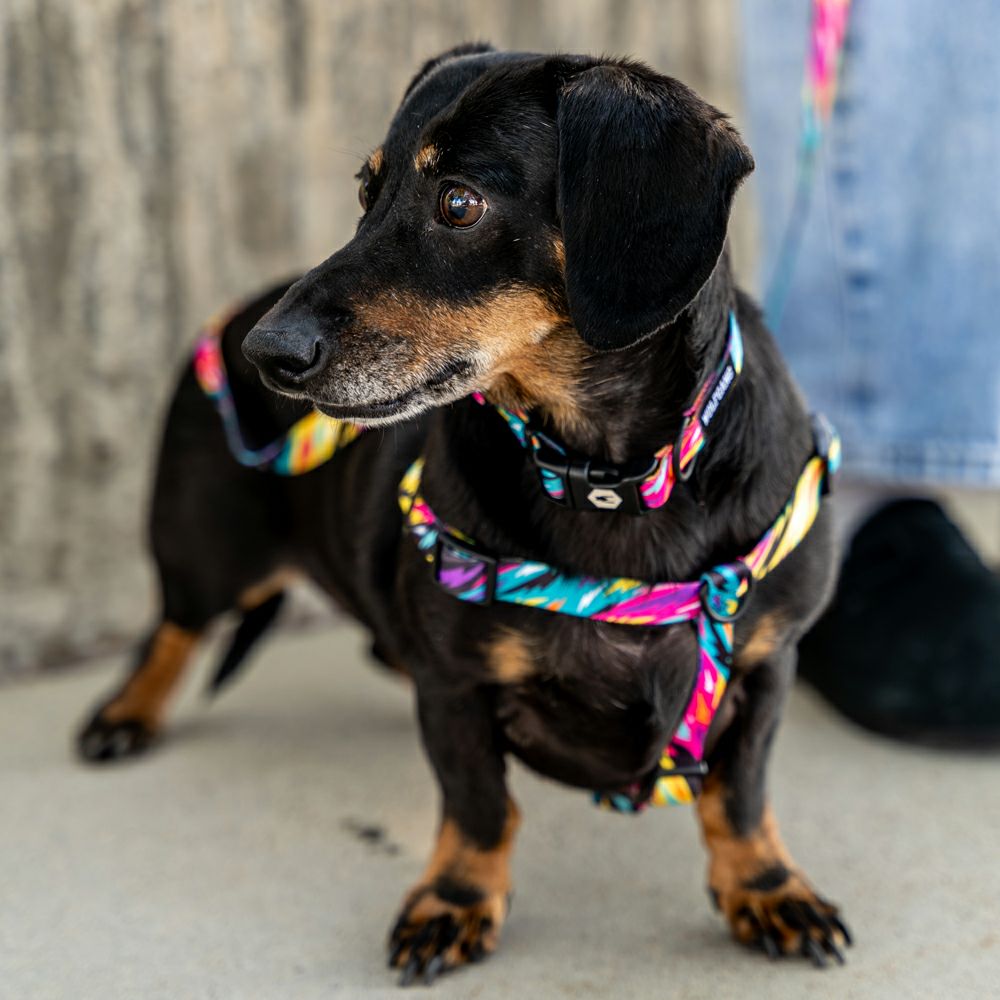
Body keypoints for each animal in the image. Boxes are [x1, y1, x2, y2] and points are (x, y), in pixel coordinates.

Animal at [79, 44, 850, 984]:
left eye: (457, 202)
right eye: (366, 192)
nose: (267, 356)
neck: (602, 476)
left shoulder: (766, 665)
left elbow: (740, 798)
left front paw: (768, 887)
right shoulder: (455, 686)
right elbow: (479, 803)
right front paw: (455, 900)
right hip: (201, 550)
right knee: (173, 628)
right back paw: (124, 715)